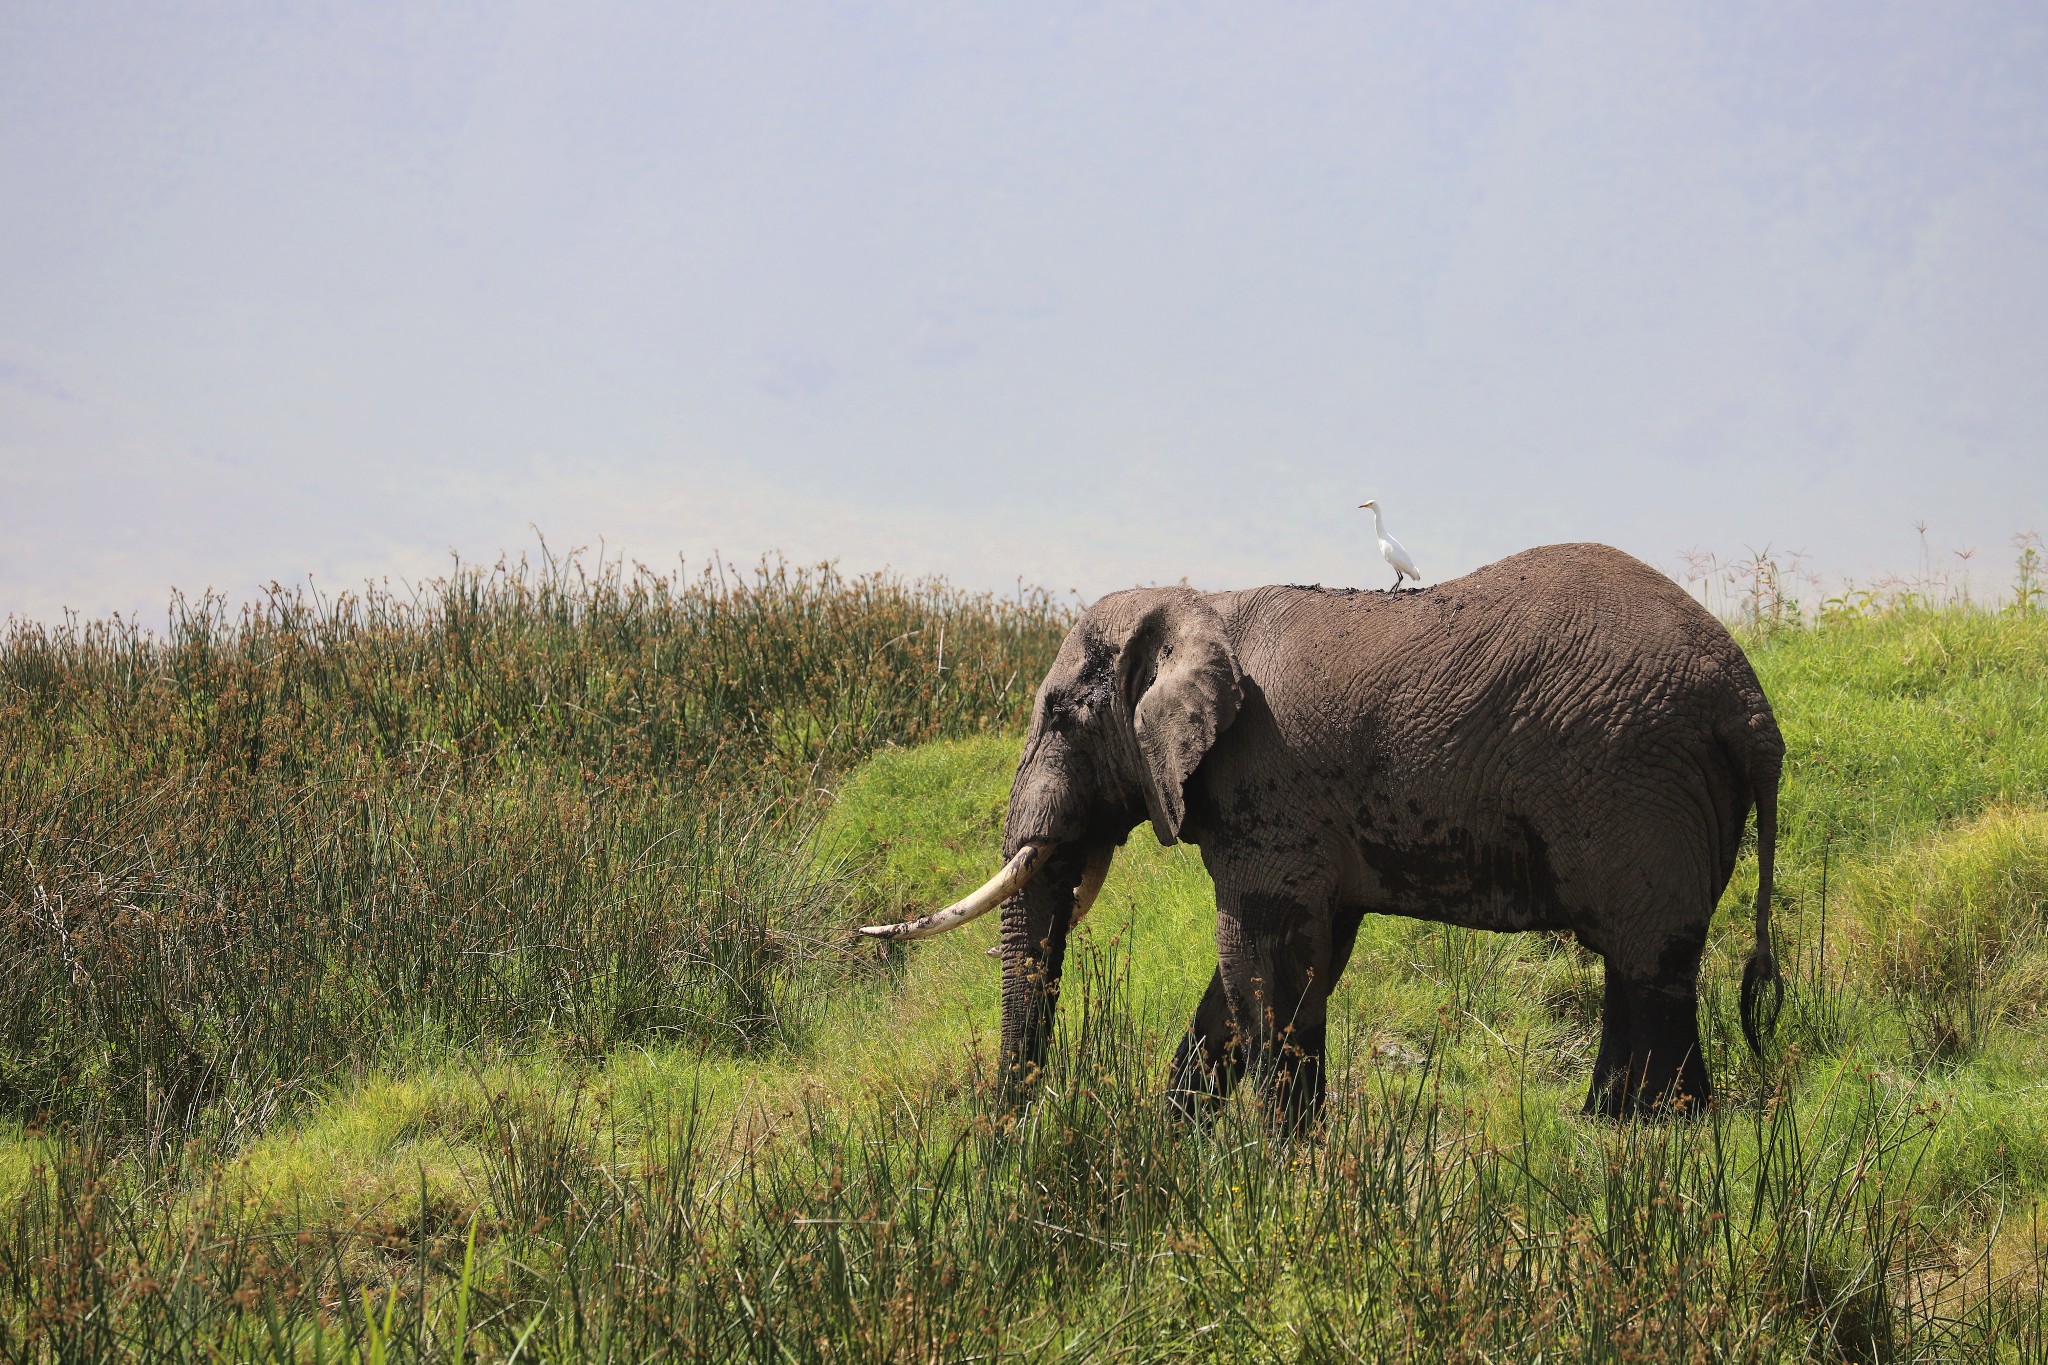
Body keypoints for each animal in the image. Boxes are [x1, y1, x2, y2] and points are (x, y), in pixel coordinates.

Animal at [856, 540, 1785, 1121]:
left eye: (1061, 715)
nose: (1012, 1132)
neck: (1198, 602)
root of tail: (1755, 709)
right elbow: (1286, 965)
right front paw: (1171, 1137)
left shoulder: (1267, 789)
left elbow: (1258, 954)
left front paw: (1278, 1157)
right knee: (1649, 963)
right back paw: (1635, 1127)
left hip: (1639, 785)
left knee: (1645, 964)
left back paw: (1638, 1131)